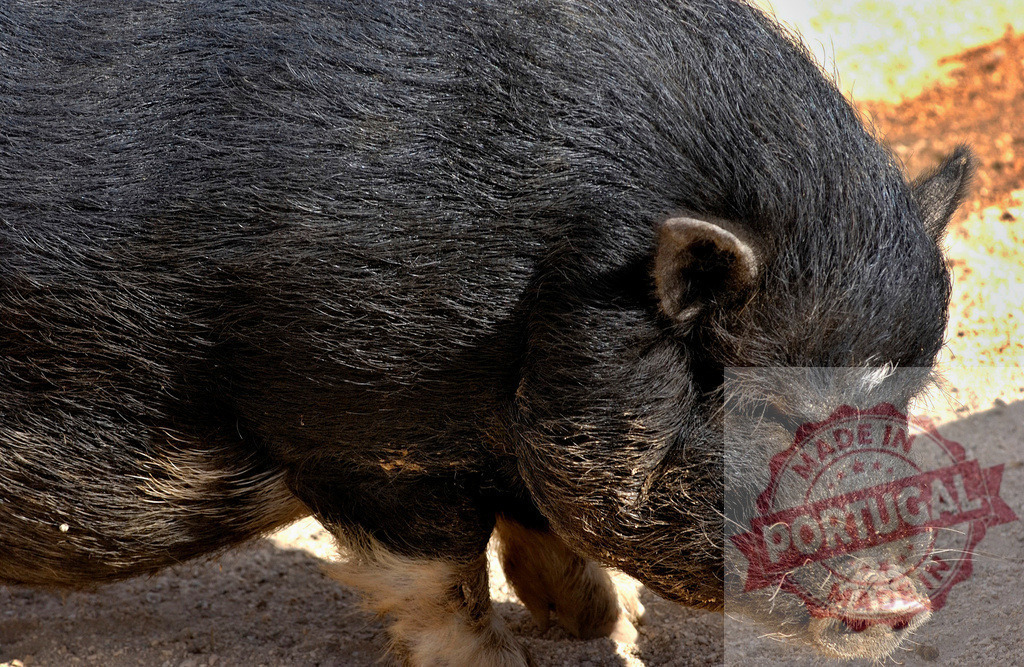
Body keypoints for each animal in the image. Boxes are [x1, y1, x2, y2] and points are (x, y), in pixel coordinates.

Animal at [0, 0, 972, 664]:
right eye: (767, 407)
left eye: (901, 401)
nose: (900, 599)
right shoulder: (359, 438)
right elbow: (442, 581)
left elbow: (540, 532)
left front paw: (600, 619)